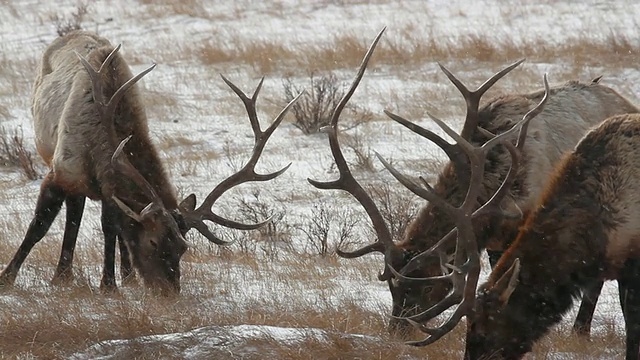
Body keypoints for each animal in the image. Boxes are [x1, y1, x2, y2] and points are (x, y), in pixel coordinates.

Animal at [0, 30, 298, 296]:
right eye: (153, 242)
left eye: (183, 247)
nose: (170, 292)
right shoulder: (60, 171)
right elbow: (39, 226)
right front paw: (8, 277)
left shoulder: (109, 190)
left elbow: (111, 228)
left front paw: (110, 283)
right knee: (73, 212)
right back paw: (63, 274)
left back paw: (112, 276)